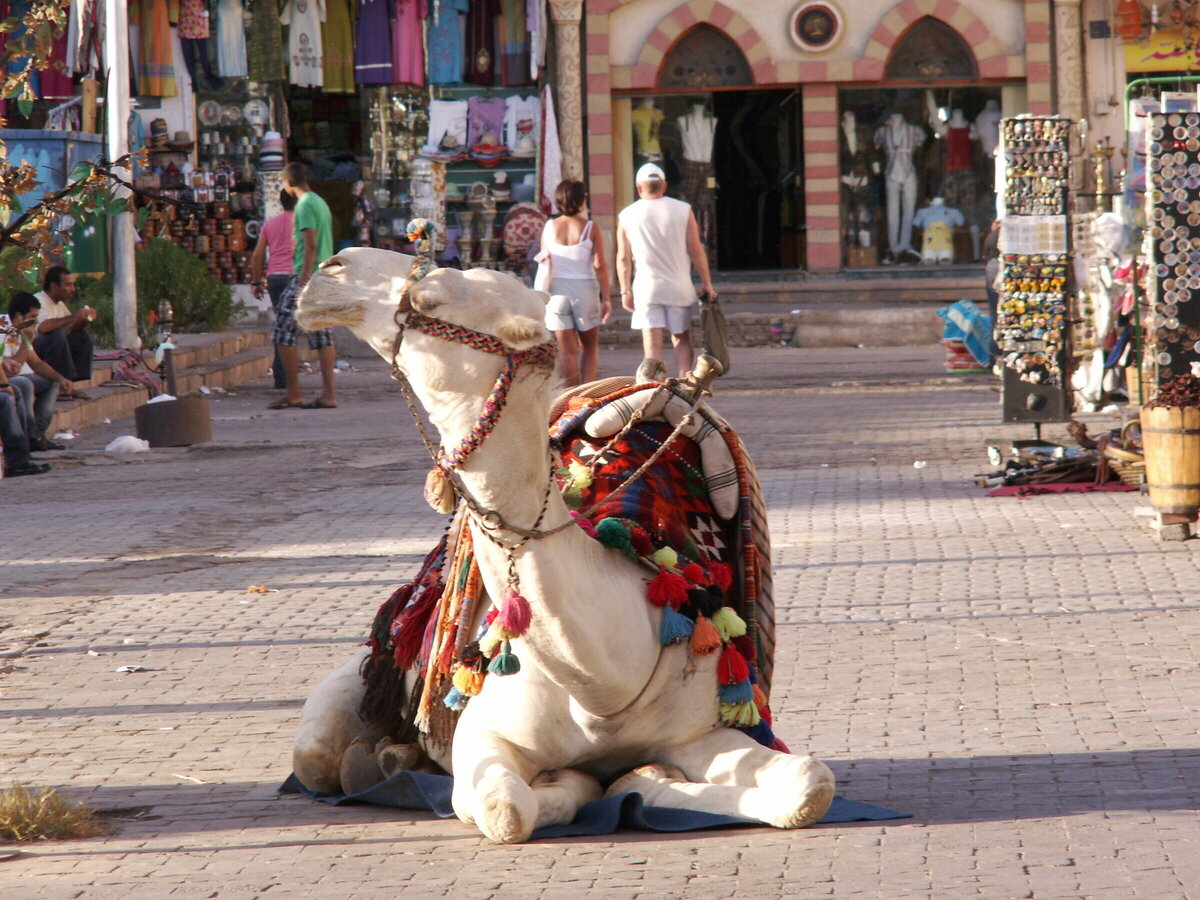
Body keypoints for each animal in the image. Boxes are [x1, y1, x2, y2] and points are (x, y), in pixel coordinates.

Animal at [290, 248, 835, 844]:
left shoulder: (704, 729)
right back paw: (377, 760)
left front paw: (641, 776)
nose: (331, 270)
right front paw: (593, 781)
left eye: (431, 297)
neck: (602, 683)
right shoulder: (480, 740)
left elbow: (810, 784)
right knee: (315, 757)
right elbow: (508, 809)